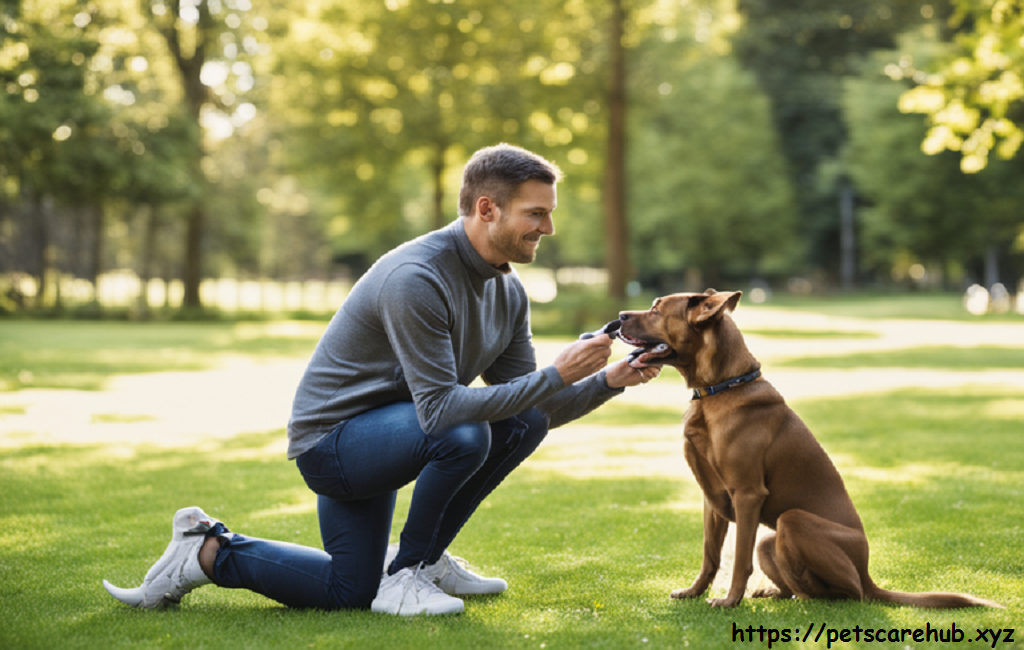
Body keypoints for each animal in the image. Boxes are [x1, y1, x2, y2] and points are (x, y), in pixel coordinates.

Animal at [614, 290, 999, 610]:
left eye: (656, 308)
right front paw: (694, 592)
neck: (719, 390)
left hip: (792, 521)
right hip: (769, 541)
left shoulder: (747, 494)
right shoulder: (713, 498)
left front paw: (730, 601)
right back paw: (774, 592)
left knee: (847, 594)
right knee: (799, 587)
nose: (618, 316)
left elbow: (738, 560)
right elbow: (710, 555)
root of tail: (868, 575)